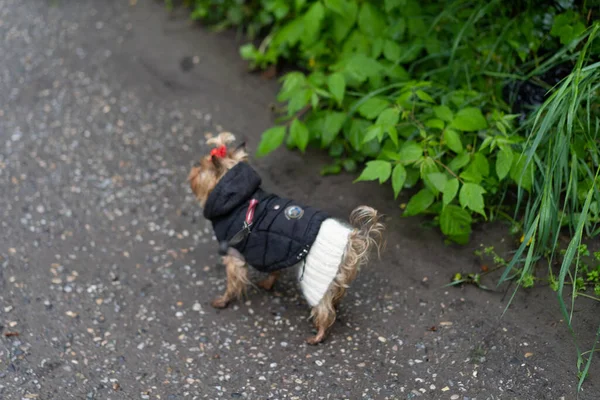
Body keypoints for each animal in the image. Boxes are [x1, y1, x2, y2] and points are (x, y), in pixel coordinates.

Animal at [189, 132, 384, 344]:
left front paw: (223, 300)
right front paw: (267, 284)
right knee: (335, 295)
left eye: (200, 168)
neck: (239, 200)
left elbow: (234, 282)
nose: (193, 168)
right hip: (336, 275)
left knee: (324, 309)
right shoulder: (274, 250)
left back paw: (318, 335)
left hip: (315, 275)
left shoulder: (234, 254)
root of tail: (352, 239)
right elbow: (274, 270)